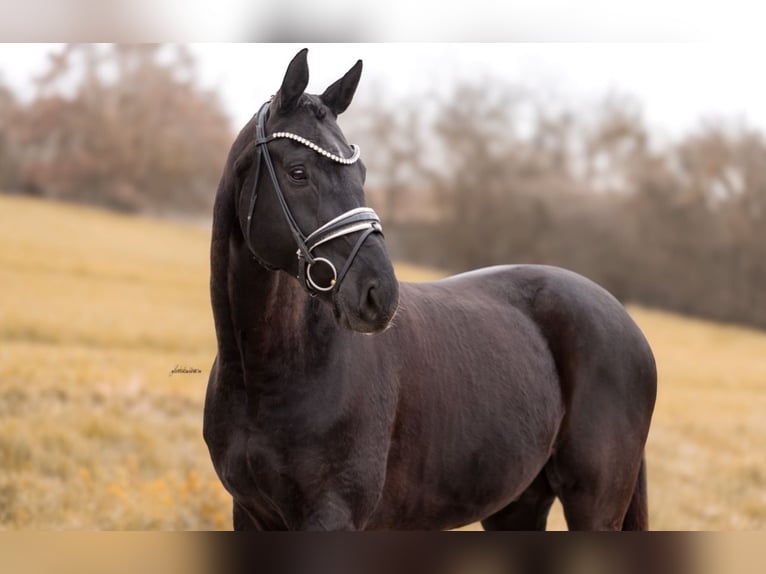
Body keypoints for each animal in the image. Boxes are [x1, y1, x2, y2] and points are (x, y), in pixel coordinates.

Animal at [204, 48, 657, 531]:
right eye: (297, 171)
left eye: (361, 171)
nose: (379, 294)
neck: (265, 373)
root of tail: (624, 319)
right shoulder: (249, 512)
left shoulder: (333, 516)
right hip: (517, 505)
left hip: (594, 507)